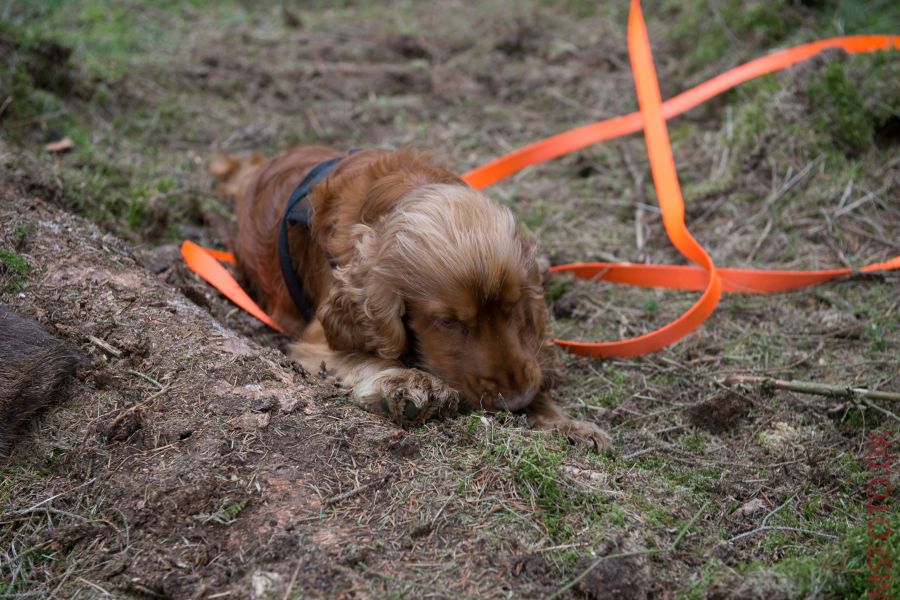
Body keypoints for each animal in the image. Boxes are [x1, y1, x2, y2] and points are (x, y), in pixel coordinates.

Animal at [211, 144, 608, 446]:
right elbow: (358, 358)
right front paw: (404, 384)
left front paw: (566, 423)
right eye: (447, 322)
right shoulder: (313, 342)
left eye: (514, 304)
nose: (516, 400)